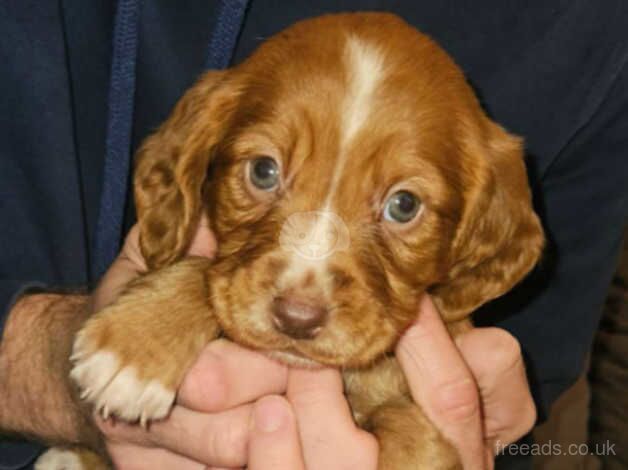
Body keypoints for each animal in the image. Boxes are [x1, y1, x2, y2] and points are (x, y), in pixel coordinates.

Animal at [41, 11, 544, 470]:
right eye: (263, 170)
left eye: (404, 205)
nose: (297, 319)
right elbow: (210, 271)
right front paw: (136, 343)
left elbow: (410, 434)